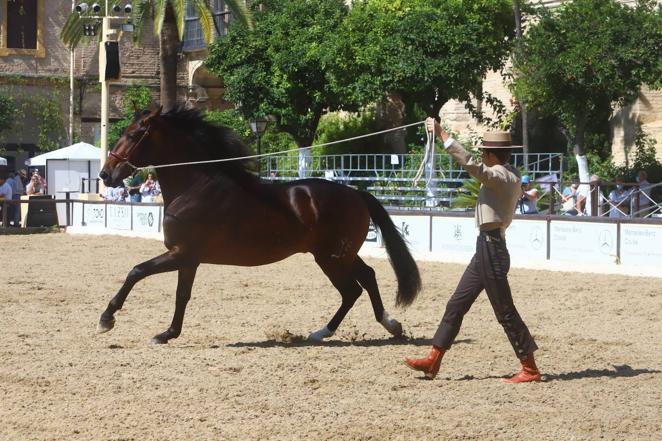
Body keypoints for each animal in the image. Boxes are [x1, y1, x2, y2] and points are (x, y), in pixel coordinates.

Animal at [98, 106, 420, 344]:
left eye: (133, 134)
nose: (105, 175)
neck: (195, 187)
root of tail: (356, 194)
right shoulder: (188, 259)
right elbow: (182, 295)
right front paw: (168, 334)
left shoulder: (182, 253)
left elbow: (136, 271)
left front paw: (107, 319)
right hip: (338, 255)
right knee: (365, 278)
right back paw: (383, 326)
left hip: (332, 257)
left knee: (353, 289)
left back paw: (332, 331)